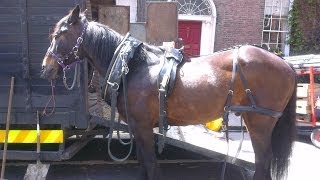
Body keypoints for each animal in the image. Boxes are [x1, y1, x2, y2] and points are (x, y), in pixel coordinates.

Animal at [41, 5, 296, 180]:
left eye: (59, 35)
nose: (46, 68)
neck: (132, 66)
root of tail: (284, 63)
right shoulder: (138, 129)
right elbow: (143, 166)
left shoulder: (143, 128)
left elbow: (152, 166)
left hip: (259, 123)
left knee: (263, 163)